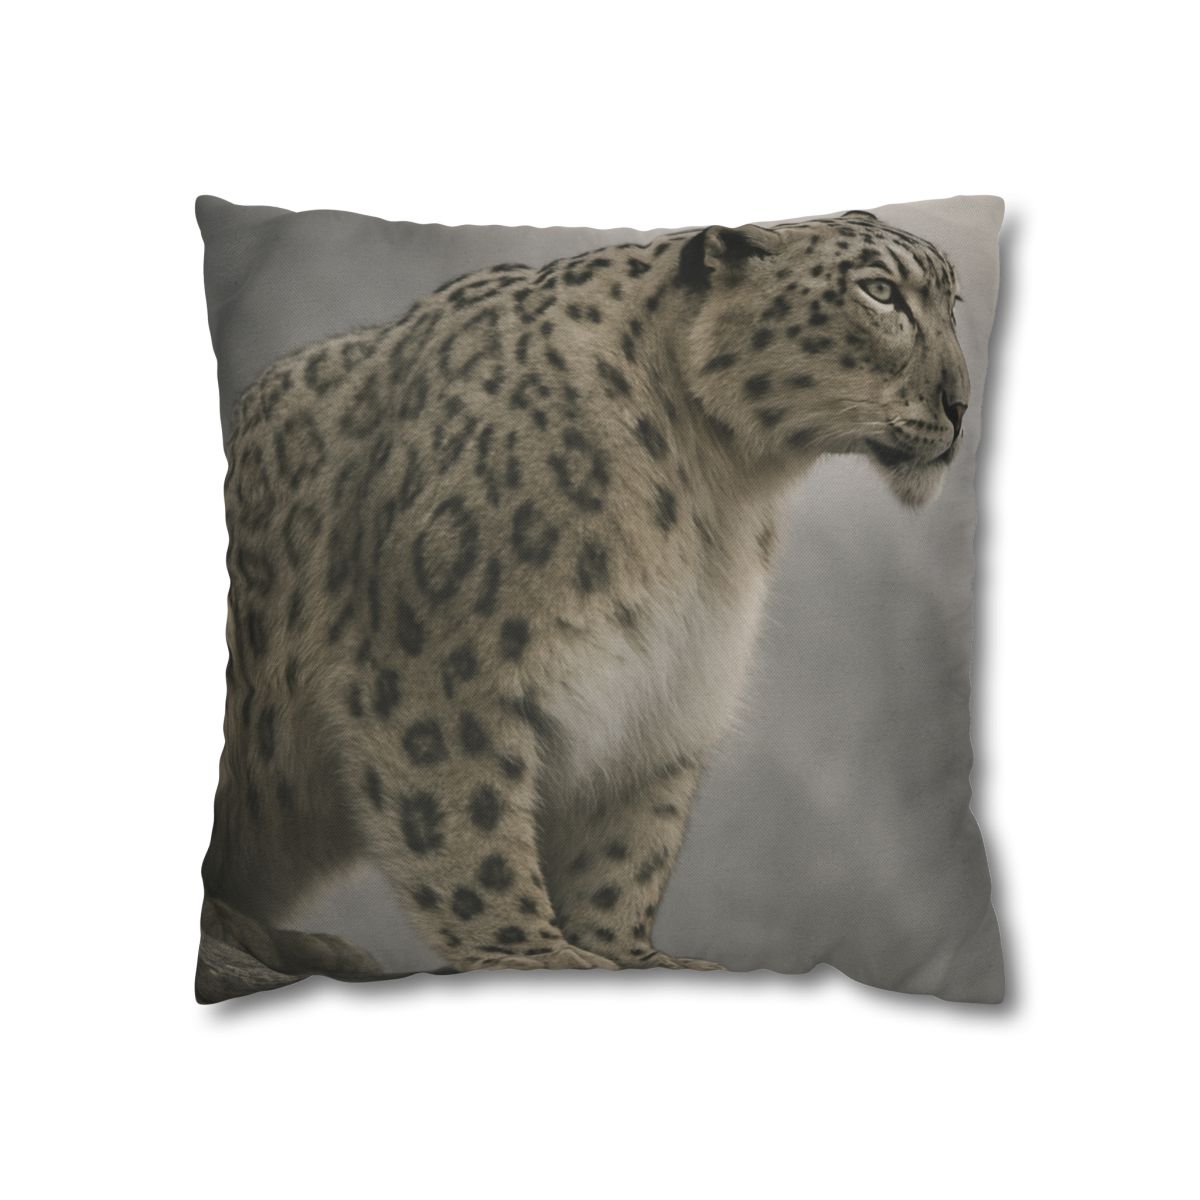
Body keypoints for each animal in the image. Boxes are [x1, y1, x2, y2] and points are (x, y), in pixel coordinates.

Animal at [198, 210, 970, 1000]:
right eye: (880, 292)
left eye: (953, 304)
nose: (961, 406)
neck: (716, 491)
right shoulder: (435, 669)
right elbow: (467, 819)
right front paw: (530, 950)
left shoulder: (668, 687)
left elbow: (630, 844)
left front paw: (627, 955)